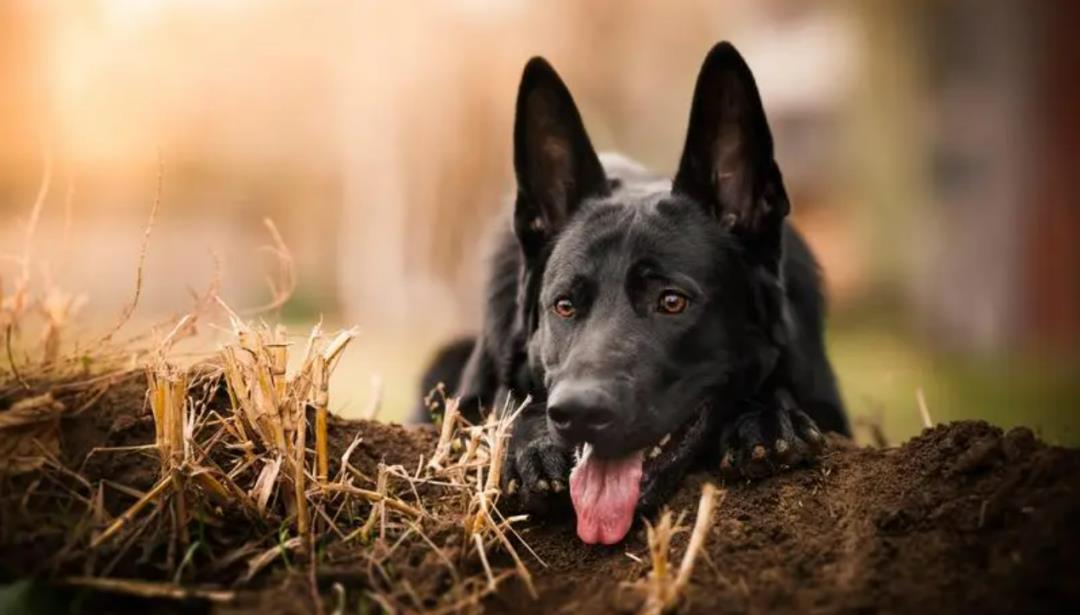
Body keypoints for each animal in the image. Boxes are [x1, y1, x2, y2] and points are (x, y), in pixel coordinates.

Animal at [416, 43, 846, 542]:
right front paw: (532, 447)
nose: (578, 413)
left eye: (672, 302)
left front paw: (766, 417)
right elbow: (505, 401)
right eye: (564, 306)